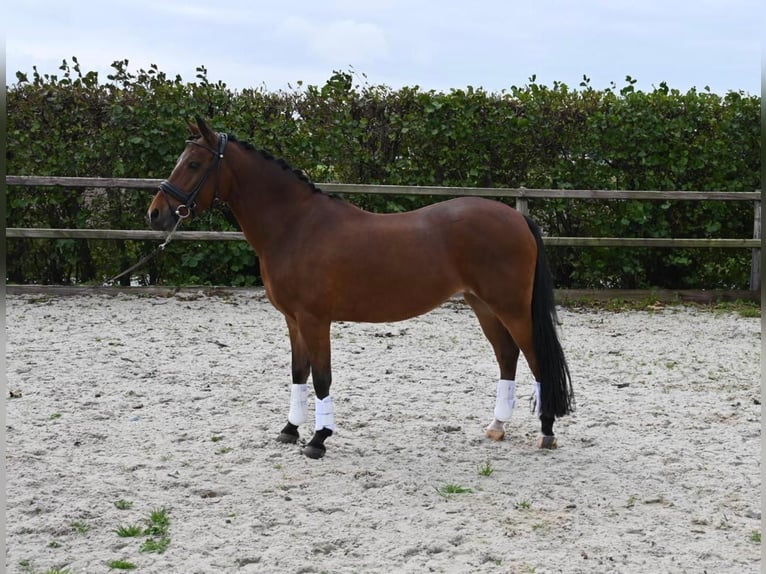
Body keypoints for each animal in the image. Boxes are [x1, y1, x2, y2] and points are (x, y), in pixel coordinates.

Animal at [147, 119, 572, 462]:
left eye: (194, 164)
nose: (155, 213)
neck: (296, 225)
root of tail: (517, 216)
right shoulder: (292, 320)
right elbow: (298, 372)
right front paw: (290, 430)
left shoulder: (315, 319)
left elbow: (322, 377)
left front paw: (318, 439)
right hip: (483, 304)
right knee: (507, 356)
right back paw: (498, 426)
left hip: (511, 307)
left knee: (535, 358)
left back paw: (546, 431)